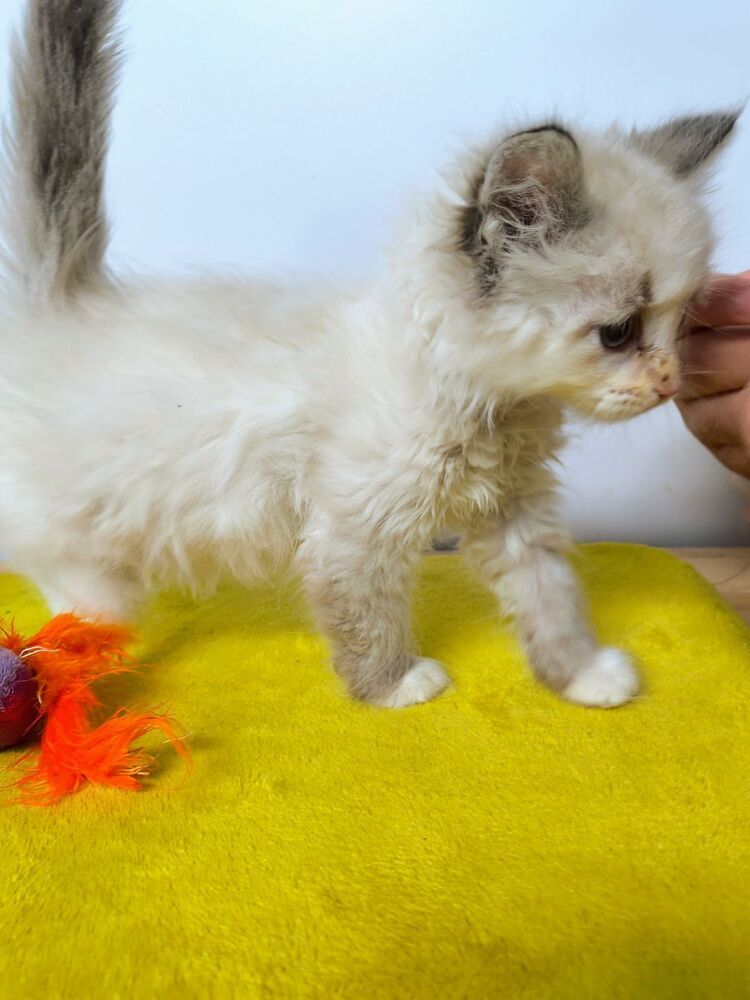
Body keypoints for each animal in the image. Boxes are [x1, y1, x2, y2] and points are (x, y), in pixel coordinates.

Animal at [0, 0, 740, 708]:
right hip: (81, 535)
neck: (493, 405)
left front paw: (581, 675)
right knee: (63, 578)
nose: (669, 381)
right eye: (617, 332)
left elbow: (549, 594)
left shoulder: (515, 509)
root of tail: (65, 301)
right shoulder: (352, 527)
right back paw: (87, 643)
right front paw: (393, 686)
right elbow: (368, 613)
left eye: (679, 323)